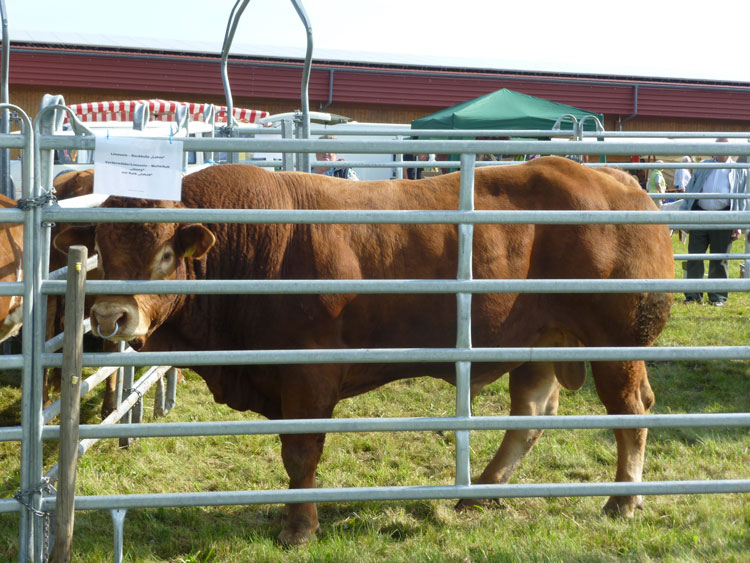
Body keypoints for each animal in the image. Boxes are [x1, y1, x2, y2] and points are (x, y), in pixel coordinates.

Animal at [53, 155, 676, 548]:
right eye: (103, 249)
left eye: (164, 252)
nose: (111, 317)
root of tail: (622, 183)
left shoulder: (307, 378)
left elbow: (300, 455)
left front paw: (299, 527)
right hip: (540, 344)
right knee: (530, 416)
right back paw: (482, 490)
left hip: (617, 344)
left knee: (631, 410)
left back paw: (623, 501)